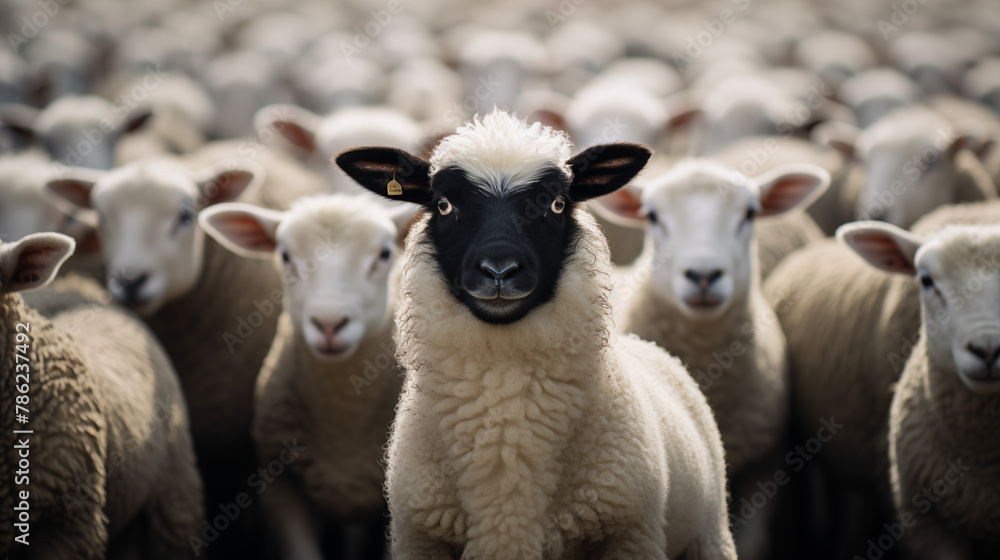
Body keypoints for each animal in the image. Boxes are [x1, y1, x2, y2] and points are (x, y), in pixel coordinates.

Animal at [335, 110, 737, 560]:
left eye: (556, 204)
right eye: (443, 204)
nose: (499, 269)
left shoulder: (630, 535)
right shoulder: (420, 538)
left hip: (709, 536)